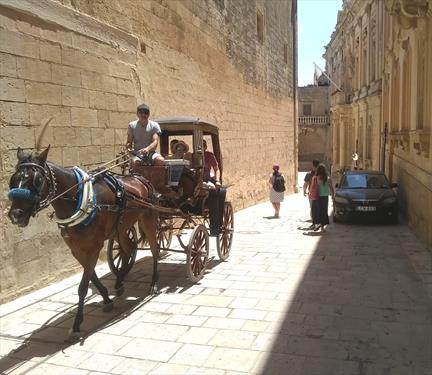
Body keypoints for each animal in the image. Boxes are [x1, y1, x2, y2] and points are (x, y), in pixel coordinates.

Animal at [6, 147, 162, 340]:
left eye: (38, 180)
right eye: (13, 179)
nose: (15, 215)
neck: (80, 200)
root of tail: (141, 178)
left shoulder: (93, 248)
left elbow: (82, 287)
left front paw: (76, 325)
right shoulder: (76, 249)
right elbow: (91, 277)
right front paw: (107, 299)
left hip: (148, 218)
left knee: (155, 250)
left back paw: (153, 284)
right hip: (120, 228)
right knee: (128, 248)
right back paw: (119, 283)